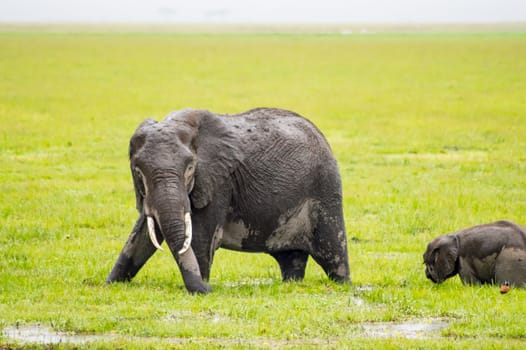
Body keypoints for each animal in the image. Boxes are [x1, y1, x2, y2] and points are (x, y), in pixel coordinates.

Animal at [104, 107, 350, 292]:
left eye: (190, 169)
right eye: (138, 172)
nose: (209, 290)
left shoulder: (218, 182)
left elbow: (200, 237)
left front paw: (201, 286)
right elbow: (143, 232)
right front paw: (110, 284)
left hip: (325, 189)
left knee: (334, 254)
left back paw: (343, 284)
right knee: (291, 259)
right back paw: (290, 283)